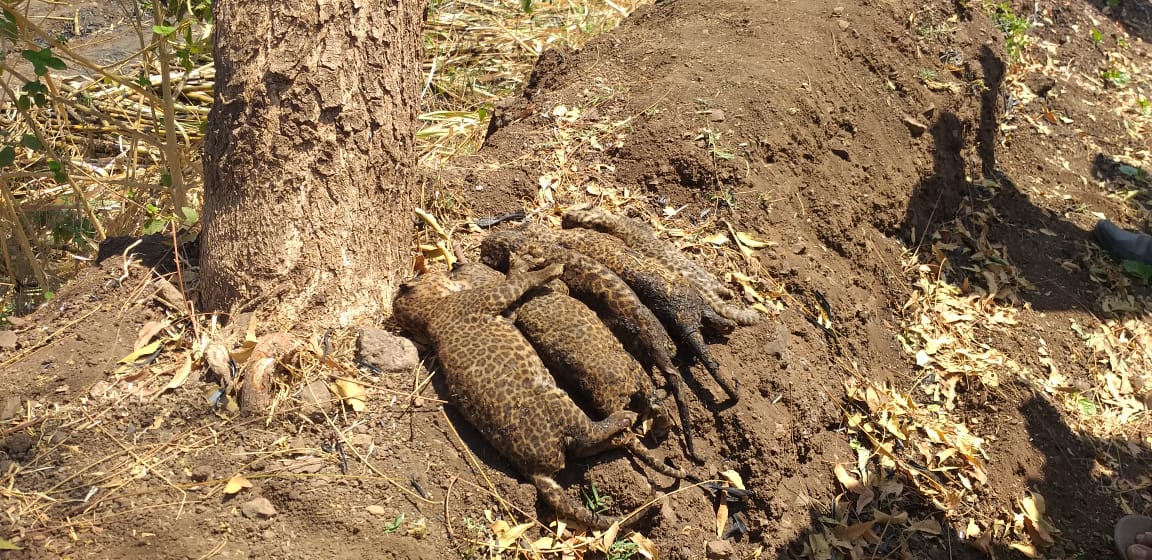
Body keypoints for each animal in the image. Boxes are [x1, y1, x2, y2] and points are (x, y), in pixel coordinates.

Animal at [392, 262, 641, 529]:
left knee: (585, 447)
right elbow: (522, 280)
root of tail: (536, 473)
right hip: (559, 404)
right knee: (590, 434)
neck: (430, 313)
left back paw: (620, 439)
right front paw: (549, 269)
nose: (455, 266)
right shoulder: (496, 295)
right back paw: (626, 419)